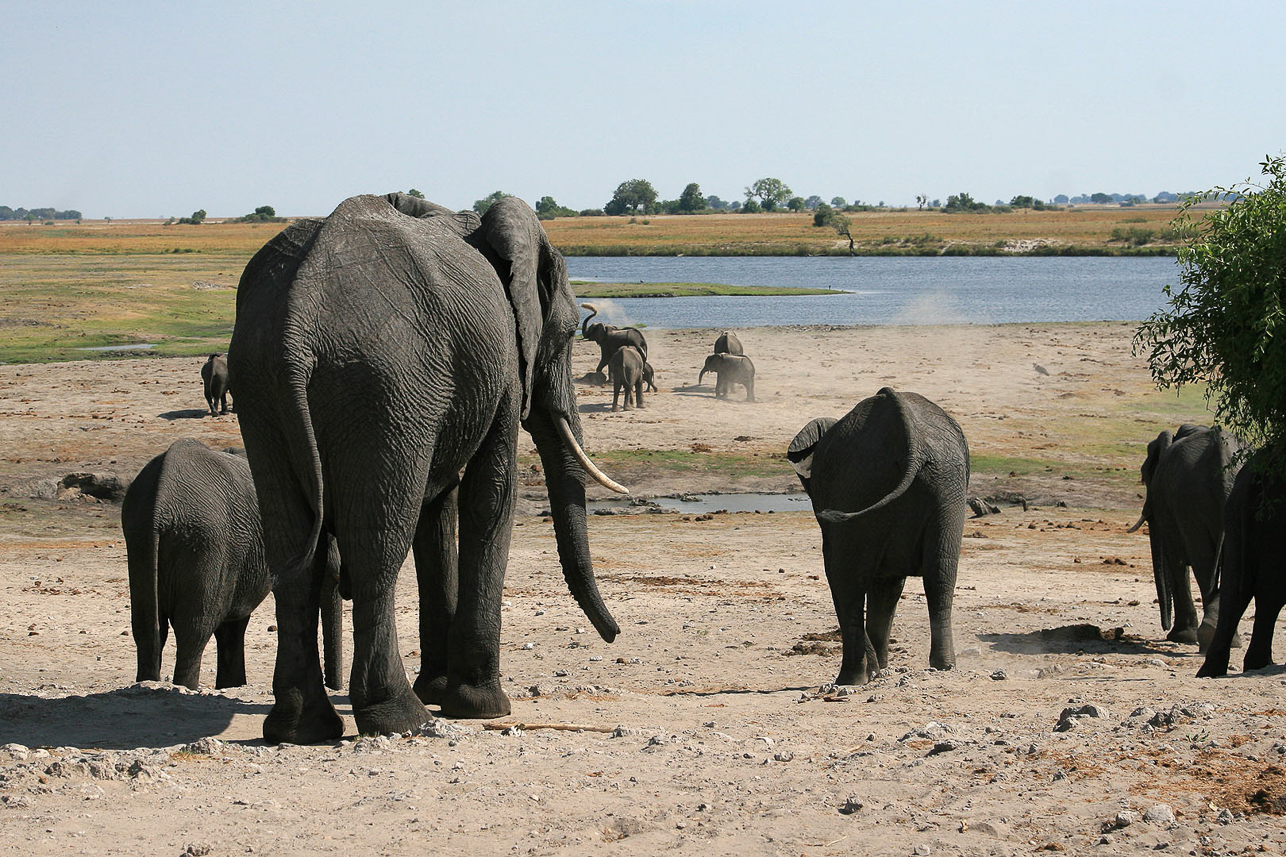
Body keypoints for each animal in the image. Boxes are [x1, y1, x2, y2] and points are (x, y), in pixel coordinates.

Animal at [118, 437, 342, 689]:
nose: (331, 686)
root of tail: (160, 508)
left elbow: (232, 625)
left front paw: (231, 686)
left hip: (140, 538)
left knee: (149, 627)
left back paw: (148, 683)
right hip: (206, 544)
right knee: (194, 630)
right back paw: (185, 687)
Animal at [232, 193, 632, 741]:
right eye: (569, 333)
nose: (615, 635)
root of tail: (296, 322)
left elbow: (436, 511)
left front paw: (442, 690)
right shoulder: (502, 365)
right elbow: (490, 495)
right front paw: (482, 706)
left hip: (264, 387)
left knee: (294, 548)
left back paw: (300, 729)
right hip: (381, 384)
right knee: (377, 543)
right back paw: (401, 718)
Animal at [781, 391, 967, 684]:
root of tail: (912, 443)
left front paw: (877, 671)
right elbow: (888, 585)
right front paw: (881, 671)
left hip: (857, 486)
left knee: (844, 580)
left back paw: (848, 679)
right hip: (946, 486)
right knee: (941, 575)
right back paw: (943, 667)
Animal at [1126, 419, 1244, 648]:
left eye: (1145, 477)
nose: (1164, 625)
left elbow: (1176, 558)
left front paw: (1180, 637)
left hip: (1189, 498)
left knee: (1202, 561)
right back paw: (1223, 639)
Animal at [1193, 447, 1286, 674]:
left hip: (1234, 513)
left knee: (1235, 591)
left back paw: (1210, 671)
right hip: (1275, 522)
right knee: (1270, 593)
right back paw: (1260, 664)